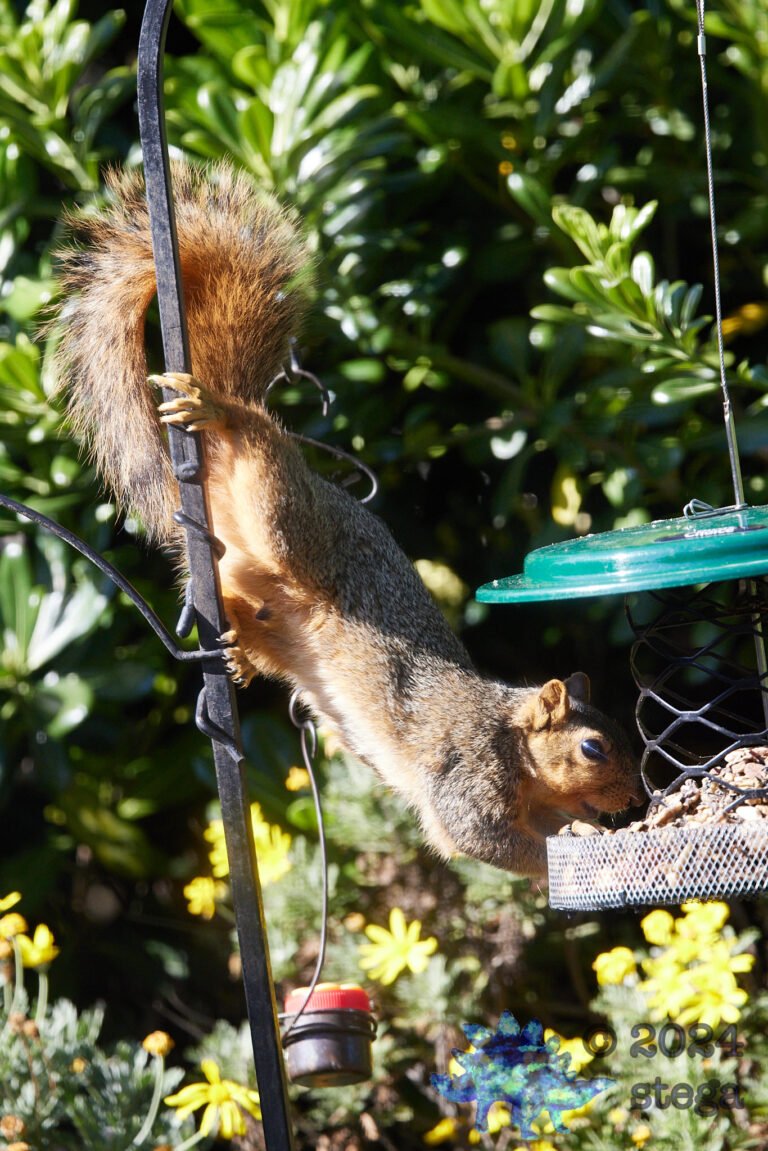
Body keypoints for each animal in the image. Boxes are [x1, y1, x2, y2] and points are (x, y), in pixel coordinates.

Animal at [53, 159, 641, 877]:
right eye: (592, 748)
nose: (636, 802)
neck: (510, 739)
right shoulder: (469, 773)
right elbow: (480, 837)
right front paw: (584, 847)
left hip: (263, 594)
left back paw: (235, 650)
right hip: (291, 523)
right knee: (260, 450)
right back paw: (222, 413)